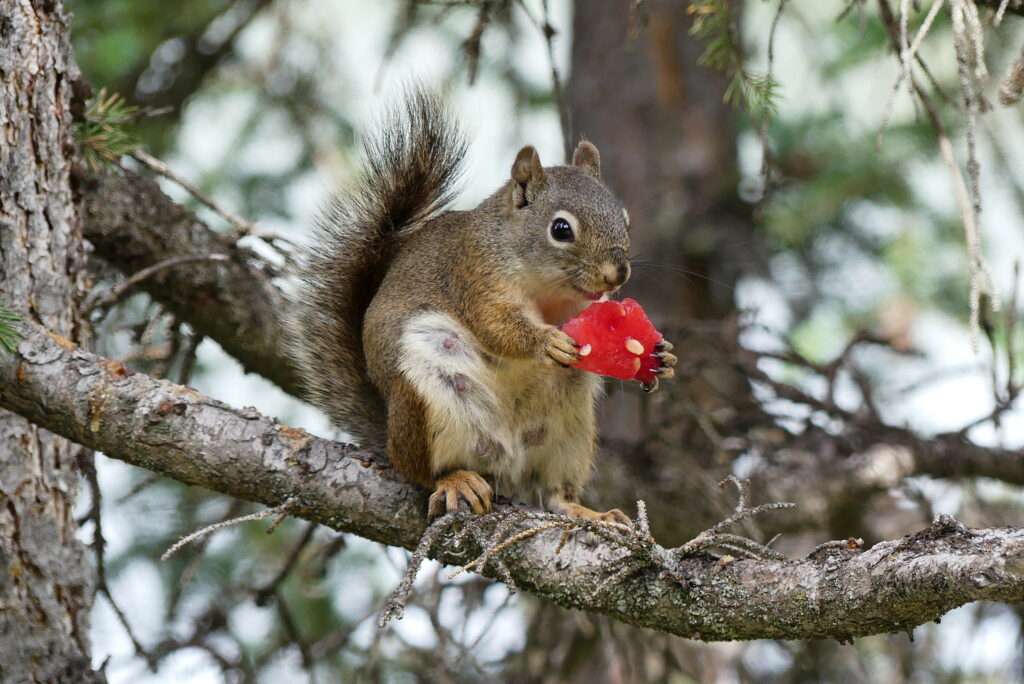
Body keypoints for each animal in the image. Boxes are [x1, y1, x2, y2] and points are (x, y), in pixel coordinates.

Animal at [290, 88, 676, 522]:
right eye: (561, 229)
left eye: (624, 219)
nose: (617, 275)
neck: (547, 288)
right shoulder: (475, 275)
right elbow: (496, 326)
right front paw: (547, 342)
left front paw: (662, 355)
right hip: (426, 404)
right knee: (422, 472)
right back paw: (455, 480)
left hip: (571, 432)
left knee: (555, 492)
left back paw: (589, 512)